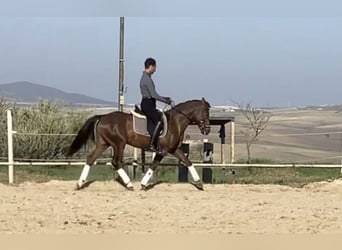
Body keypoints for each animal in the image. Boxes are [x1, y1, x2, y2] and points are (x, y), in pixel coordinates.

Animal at [66, 97, 211, 189]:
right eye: (205, 112)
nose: (207, 130)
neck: (175, 122)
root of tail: (102, 117)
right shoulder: (163, 150)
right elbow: (154, 165)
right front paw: (143, 183)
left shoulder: (174, 149)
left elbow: (187, 162)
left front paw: (199, 183)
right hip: (119, 144)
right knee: (115, 162)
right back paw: (129, 184)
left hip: (103, 144)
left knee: (91, 159)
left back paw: (80, 184)